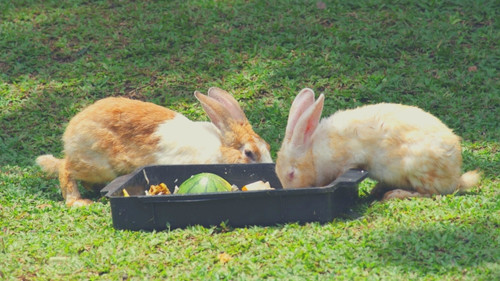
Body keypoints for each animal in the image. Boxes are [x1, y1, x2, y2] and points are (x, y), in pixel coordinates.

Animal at [38, 86, 274, 205]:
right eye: (249, 153)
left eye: (268, 147)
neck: (220, 148)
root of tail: (70, 134)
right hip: (98, 165)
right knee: (66, 169)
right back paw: (78, 201)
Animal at [276, 88, 478, 200]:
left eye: (291, 173)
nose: (290, 190)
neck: (314, 152)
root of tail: (455, 177)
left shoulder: (349, 161)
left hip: (416, 168)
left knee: (431, 193)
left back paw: (393, 195)